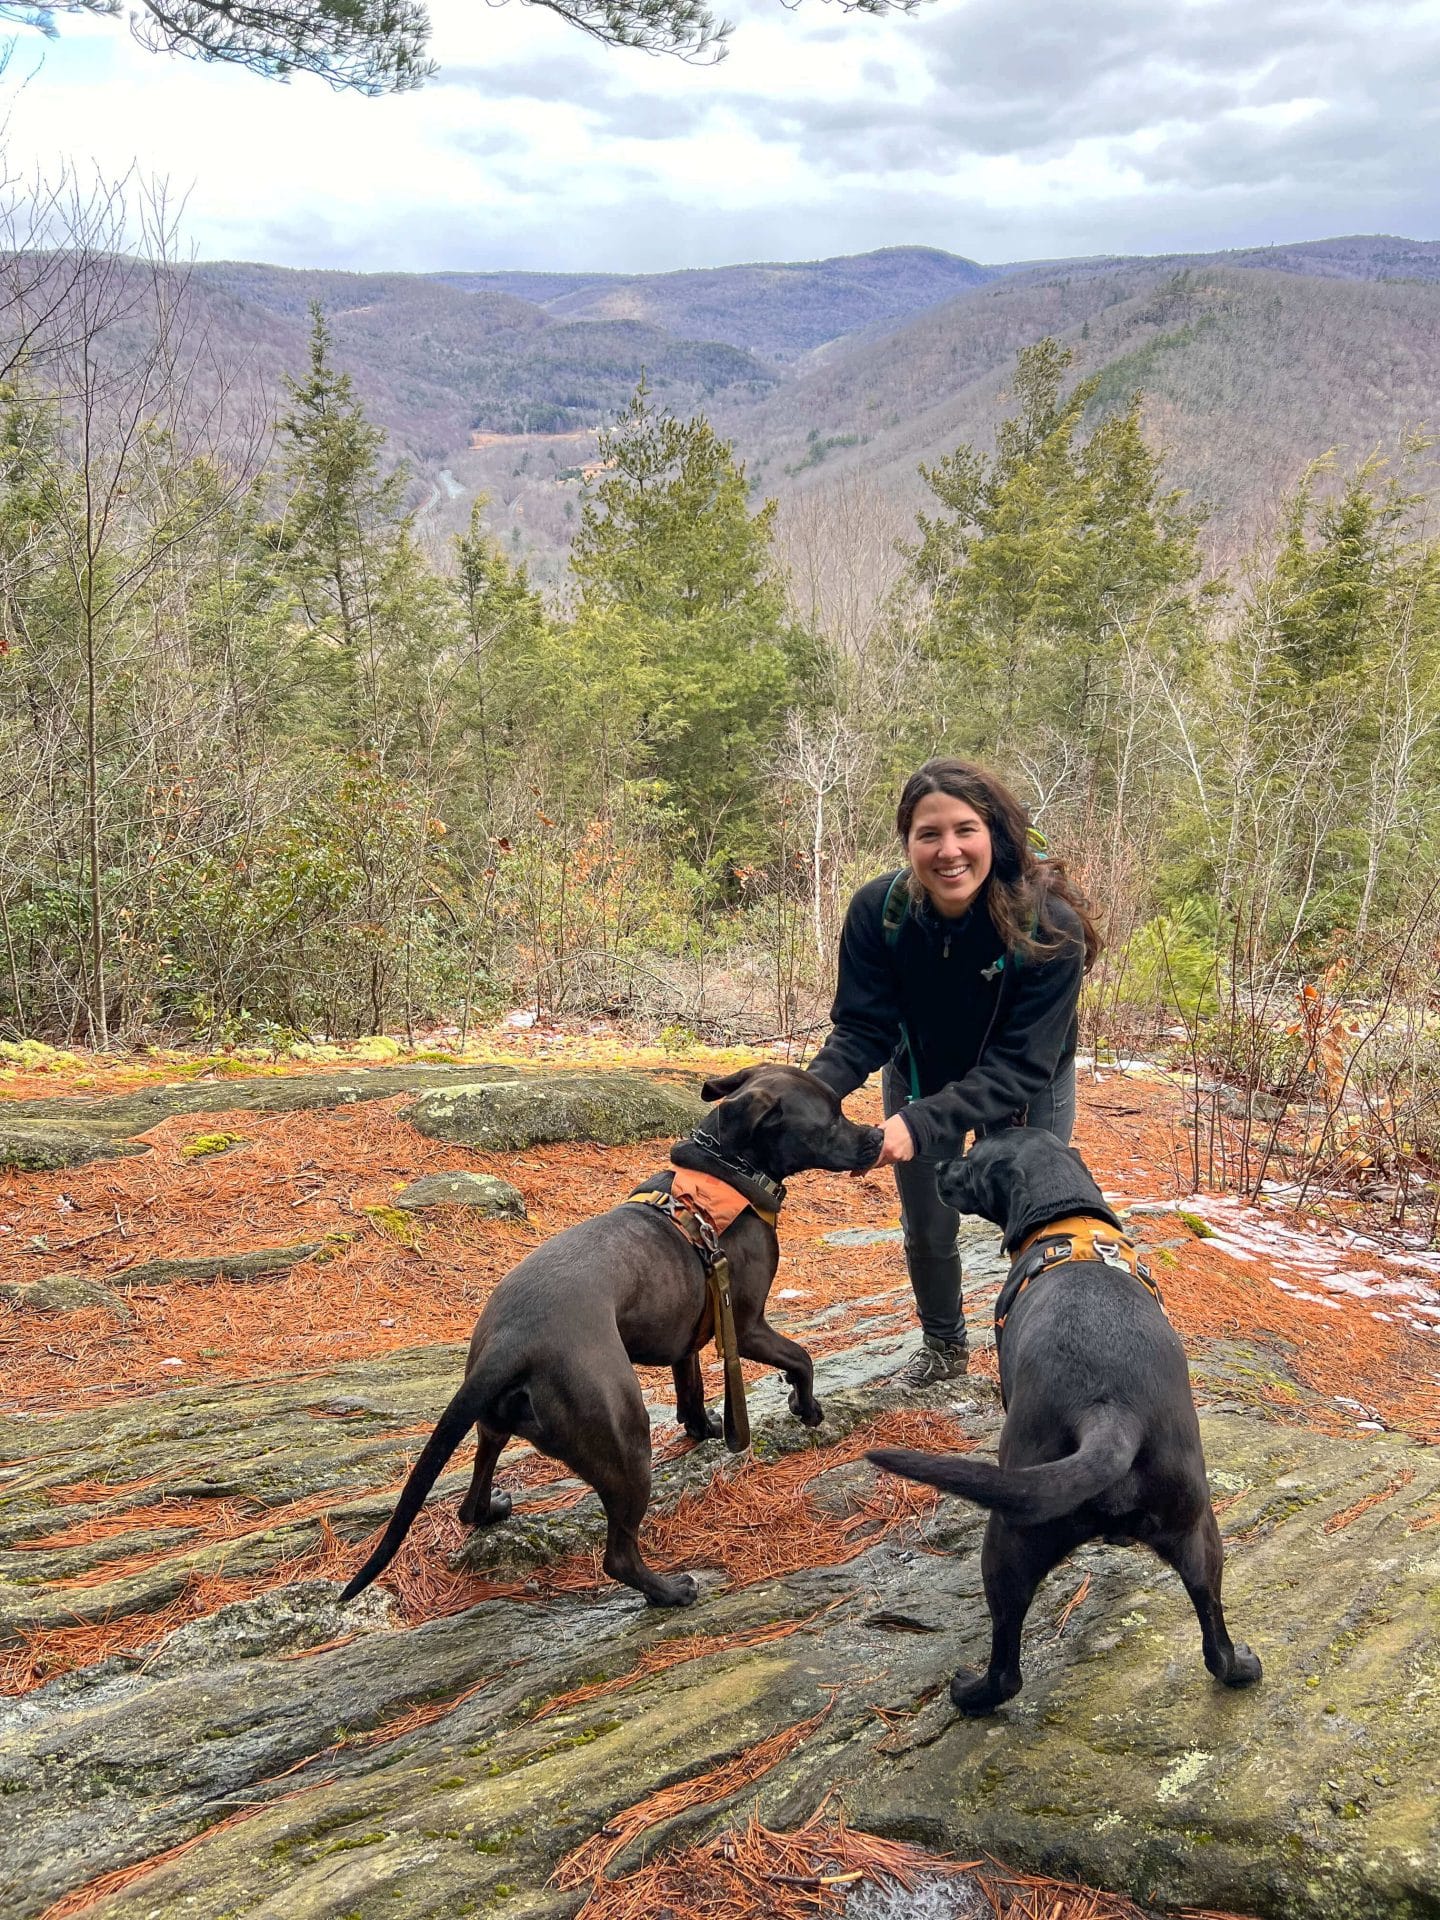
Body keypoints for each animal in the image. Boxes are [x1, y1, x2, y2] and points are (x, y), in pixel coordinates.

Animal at [343, 1067, 887, 1605]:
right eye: (832, 1118)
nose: (879, 1135)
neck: (724, 1169)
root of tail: (512, 1344)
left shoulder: (689, 1338)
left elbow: (691, 1393)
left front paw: (707, 1427)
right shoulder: (747, 1326)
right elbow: (802, 1357)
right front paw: (807, 1407)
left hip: (493, 1425)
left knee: (473, 1498)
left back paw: (493, 1509)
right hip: (625, 1441)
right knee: (619, 1555)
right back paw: (670, 1591)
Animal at [867, 1121, 1259, 1712]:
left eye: (971, 1160)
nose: (936, 1166)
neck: (1065, 1219)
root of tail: (1111, 1413)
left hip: (1008, 1540)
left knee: (1007, 1665)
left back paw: (972, 1693)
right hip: (1200, 1533)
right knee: (1215, 1639)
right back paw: (1241, 1668)